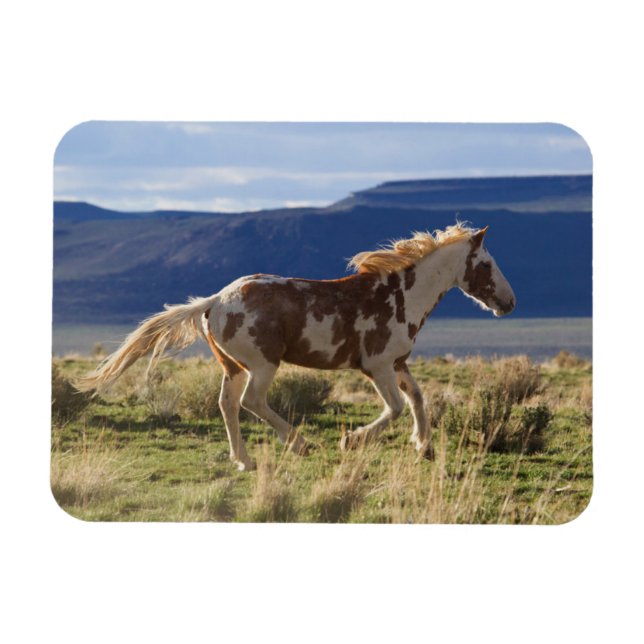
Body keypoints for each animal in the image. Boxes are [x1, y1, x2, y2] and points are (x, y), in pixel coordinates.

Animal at [76, 223, 515, 471]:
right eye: (487, 264)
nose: (510, 303)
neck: (401, 296)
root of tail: (214, 301)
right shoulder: (376, 366)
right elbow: (393, 408)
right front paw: (352, 440)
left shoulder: (398, 363)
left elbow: (419, 400)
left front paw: (423, 446)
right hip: (263, 364)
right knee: (252, 402)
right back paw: (301, 443)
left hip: (233, 367)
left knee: (227, 404)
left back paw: (244, 460)